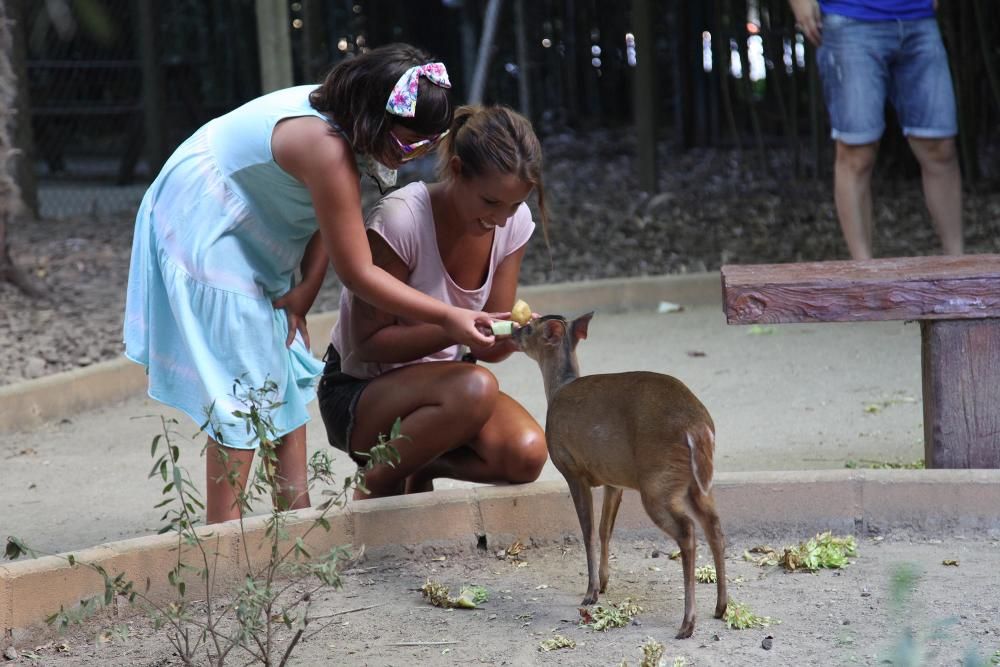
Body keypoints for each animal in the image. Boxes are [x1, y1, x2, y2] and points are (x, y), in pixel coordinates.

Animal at [516, 316, 728, 640]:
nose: (513, 332)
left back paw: (687, 623)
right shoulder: (613, 479)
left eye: (529, 326)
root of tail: (697, 428)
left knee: (688, 531)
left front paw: (590, 592)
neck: (559, 387)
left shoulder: (572, 469)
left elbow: (588, 531)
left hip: (657, 481)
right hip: (696, 482)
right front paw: (603, 582)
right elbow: (605, 529)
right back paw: (720, 607)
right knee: (713, 525)